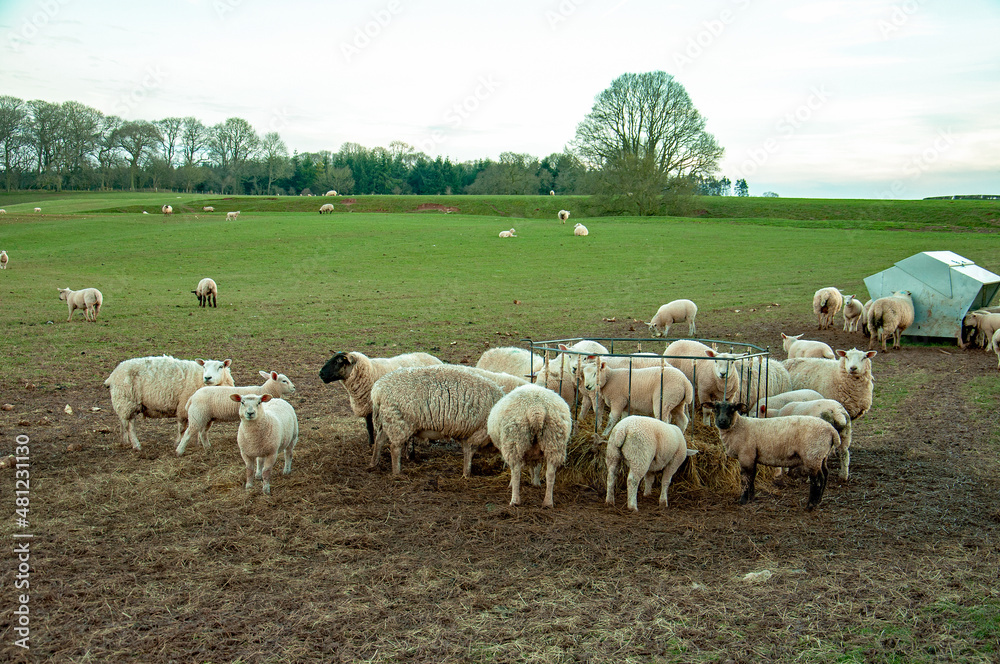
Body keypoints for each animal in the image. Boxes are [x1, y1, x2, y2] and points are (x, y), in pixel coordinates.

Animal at [104, 355, 234, 450]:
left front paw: (195, 443)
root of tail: (113, 374)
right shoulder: (183, 406)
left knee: (124, 423)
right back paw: (137, 445)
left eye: (221, 366)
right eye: (204, 367)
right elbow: (182, 428)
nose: (207, 377)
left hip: (125, 404)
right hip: (127, 401)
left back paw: (125, 442)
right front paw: (178, 443)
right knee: (130, 426)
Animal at [370, 364, 505, 477]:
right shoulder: (479, 432)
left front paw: (466, 473)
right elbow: (470, 452)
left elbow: (467, 451)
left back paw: (374, 463)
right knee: (394, 448)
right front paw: (467, 474)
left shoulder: (467, 433)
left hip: (388, 419)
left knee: (379, 440)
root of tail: (377, 390)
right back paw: (397, 473)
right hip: (399, 421)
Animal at [707, 401, 836, 509]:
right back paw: (819, 500)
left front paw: (743, 500)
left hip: (812, 455)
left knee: (817, 479)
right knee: (825, 475)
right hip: (822, 456)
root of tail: (831, 430)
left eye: (732, 409)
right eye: (715, 409)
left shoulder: (746, 455)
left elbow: (745, 478)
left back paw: (811, 505)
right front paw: (751, 497)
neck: (738, 426)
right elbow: (752, 476)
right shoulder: (752, 456)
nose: (722, 421)